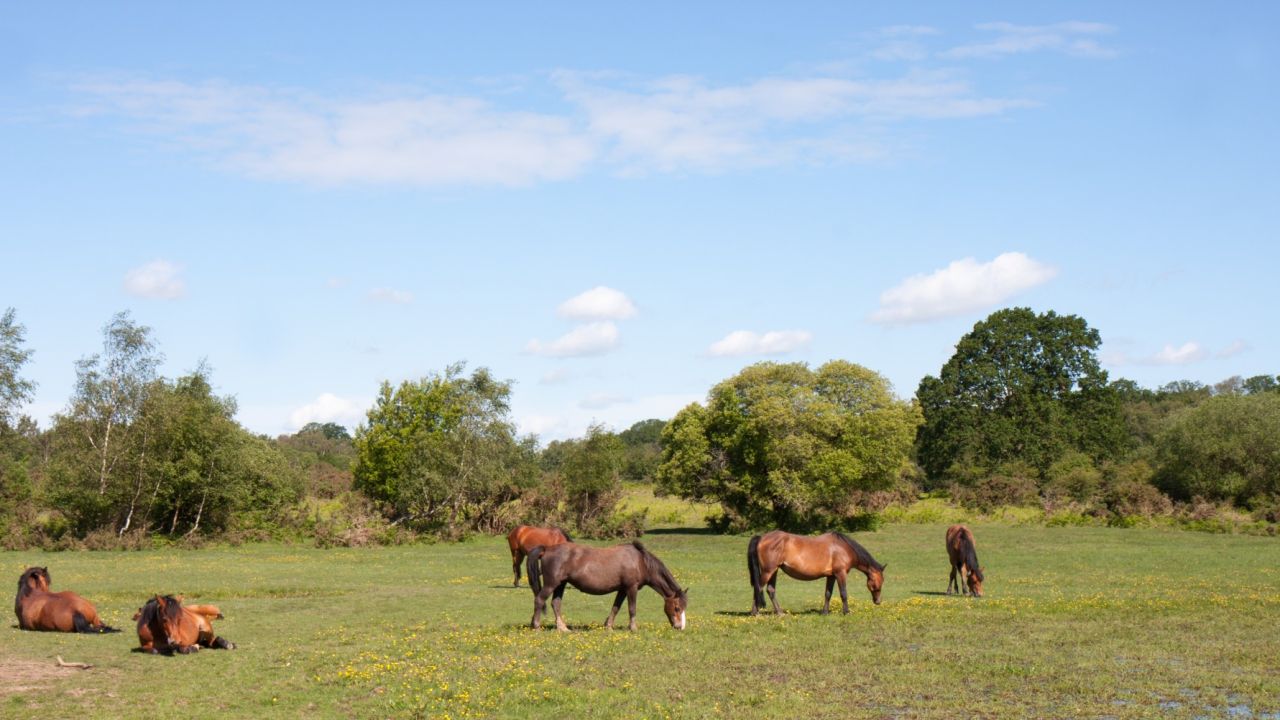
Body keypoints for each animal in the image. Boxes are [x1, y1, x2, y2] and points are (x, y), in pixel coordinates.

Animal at [524, 540, 686, 630]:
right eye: (677, 608)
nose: (680, 627)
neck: (640, 561)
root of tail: (547, 549)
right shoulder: (631, 588)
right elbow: (632, 609)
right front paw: (633, 628)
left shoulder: (622, 590)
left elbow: (616, 607)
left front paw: (608, 626)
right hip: (551, 584)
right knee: (539, 600)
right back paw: (536, 626)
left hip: (560, 585)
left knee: (555, 603)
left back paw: (563, 628)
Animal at [747, 527, 885, 609]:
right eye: (879, 581)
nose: (878, 601)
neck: (843, 548)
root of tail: (762, 537)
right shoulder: (840, 574)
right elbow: (843, 593)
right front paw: (846, 612)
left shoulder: (831, 576)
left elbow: (828, 593)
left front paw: (825, 612)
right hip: (768, 571)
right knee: (758, 588)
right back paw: (755, 613)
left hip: (773, 571)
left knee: (770, 590)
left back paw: (779, 613)